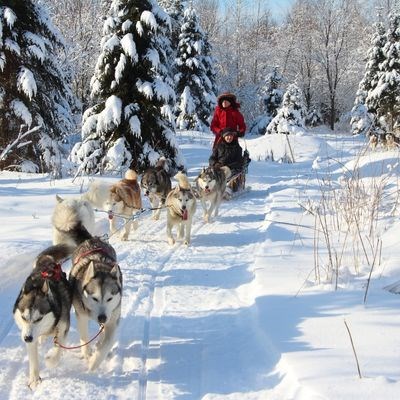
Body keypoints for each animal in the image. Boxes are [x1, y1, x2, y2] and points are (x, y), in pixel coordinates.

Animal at [12, 242, 74, 390]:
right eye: (23, 317)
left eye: (39, 318)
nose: (27, 338)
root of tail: (46, 260)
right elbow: (33, 358)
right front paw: (34, 379)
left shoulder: (63, 327)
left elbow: (58, 348)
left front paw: (51, 360)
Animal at [69, 236, 122, 370]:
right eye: (94, 298)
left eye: (109, 299)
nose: (102, 317)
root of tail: (92, 238)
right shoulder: (81, 315)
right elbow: (84, 338)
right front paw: (87, 355)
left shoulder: (113, 318)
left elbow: (107, 343)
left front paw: (94, 362)